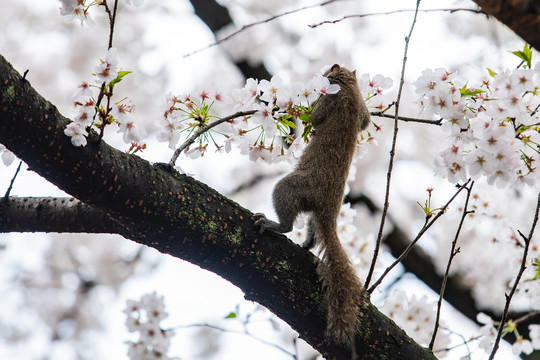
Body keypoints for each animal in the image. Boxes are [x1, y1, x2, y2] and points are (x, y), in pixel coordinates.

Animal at [254, 64, 372, 344]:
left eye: (330, 70)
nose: (323, 71)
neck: (350, 87)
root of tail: (329, 214)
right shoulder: (361, 109)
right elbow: (366, 121)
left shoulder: (331, 99)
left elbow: (314, 118)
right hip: (313, 216)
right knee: (313, 234)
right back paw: (306, 244)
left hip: (292, 188)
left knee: (288, 222)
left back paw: (275, 225)